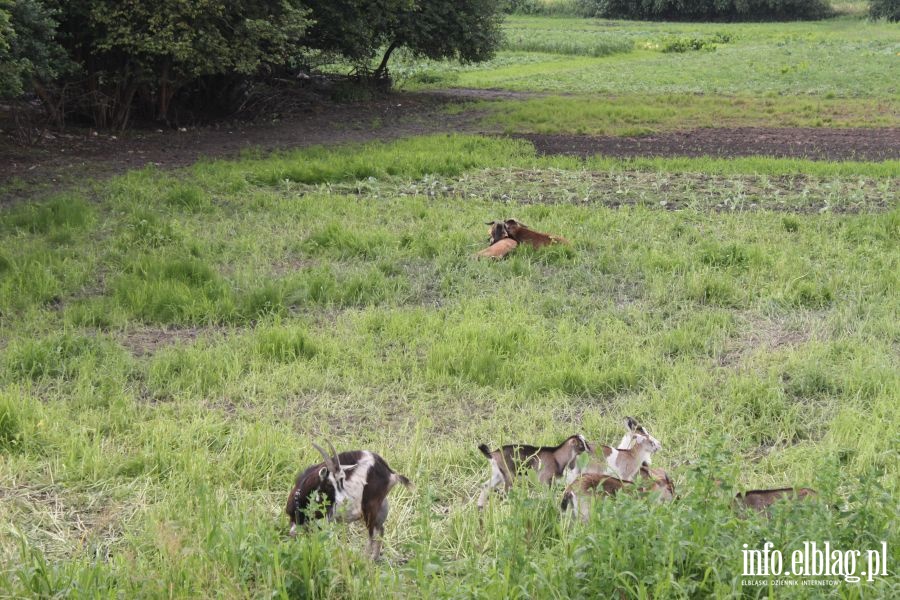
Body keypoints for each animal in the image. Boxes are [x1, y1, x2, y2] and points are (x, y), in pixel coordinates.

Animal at [284, 440, 412, 564]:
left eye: (342, 480)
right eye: (329, 484)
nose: (343, 500)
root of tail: (390, 472)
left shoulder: (324, 522)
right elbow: (294, 534)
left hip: (370, 508)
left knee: (372, 536)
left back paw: (365, 561)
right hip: (381, 506)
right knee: (380, 531)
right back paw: (374, 559)